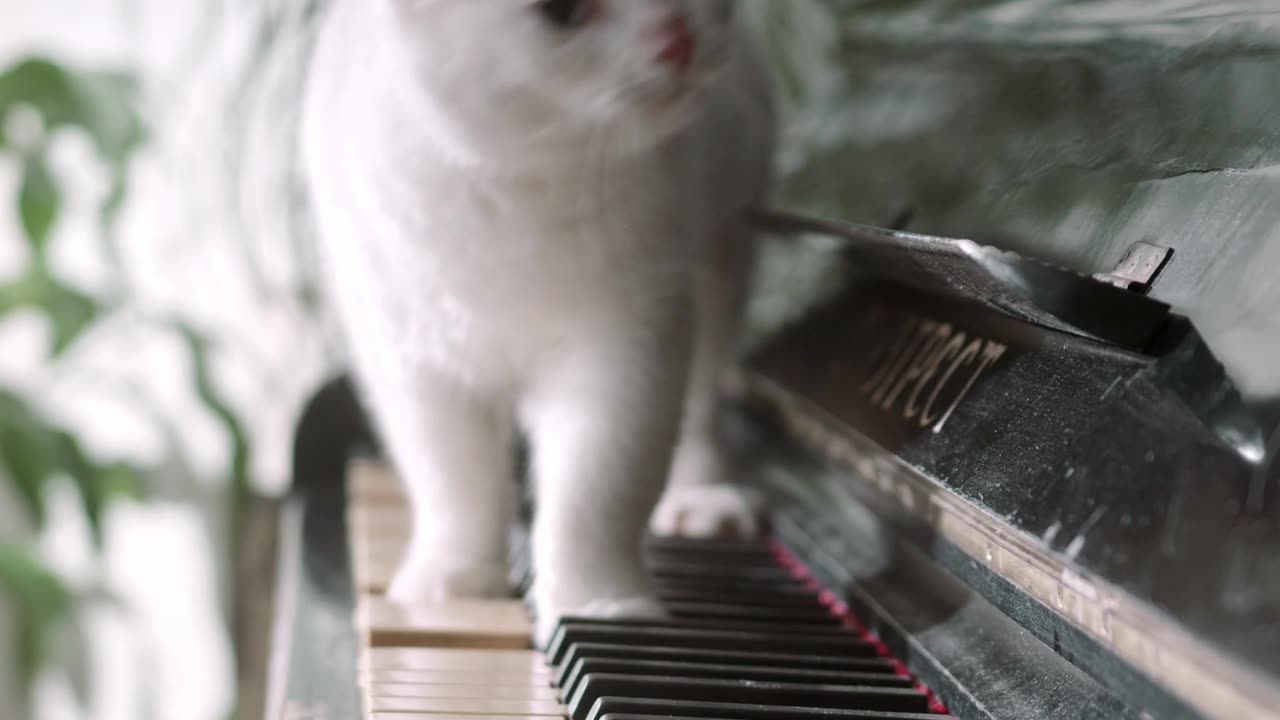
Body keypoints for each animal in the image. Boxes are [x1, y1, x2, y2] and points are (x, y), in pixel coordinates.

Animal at [299, 0, 773, 638]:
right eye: (564, 12)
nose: (678, 39)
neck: (514, 192)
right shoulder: (413, 364)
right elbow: (454, 485)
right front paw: (454, 581)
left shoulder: (627, 347)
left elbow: (596, 494)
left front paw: (599, 606)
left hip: (721, 267)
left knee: (700, 411)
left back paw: (705, 501)